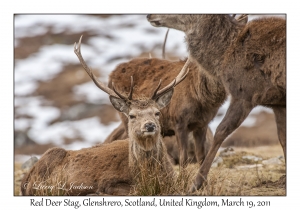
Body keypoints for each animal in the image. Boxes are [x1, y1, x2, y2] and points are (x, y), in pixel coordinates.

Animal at [20, 35, 188, 195]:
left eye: (157, 112)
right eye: (132, 115)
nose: (150, 125)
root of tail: (25, 181)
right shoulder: (108, 183)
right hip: (48, 166)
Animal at [148, 13, 286, 190]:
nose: (149, 15)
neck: (224, 55)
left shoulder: (244, 93)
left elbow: (221, 131)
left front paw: (197, 182)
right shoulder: (278, 102)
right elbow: (282, 138)